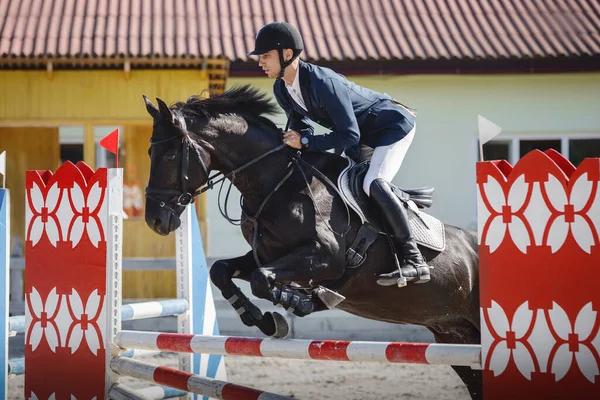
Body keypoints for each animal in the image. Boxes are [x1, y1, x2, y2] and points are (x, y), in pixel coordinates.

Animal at [142, 86, 482, 398]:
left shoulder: (327, 259)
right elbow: (223, 272)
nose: (155, 220)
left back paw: (411, 268)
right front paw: (264, 319)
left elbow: (262, 279)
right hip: (453, 335)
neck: (278, 182)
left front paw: (300, 301)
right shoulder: (268, 254)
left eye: (170, 155)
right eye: (149, 154)